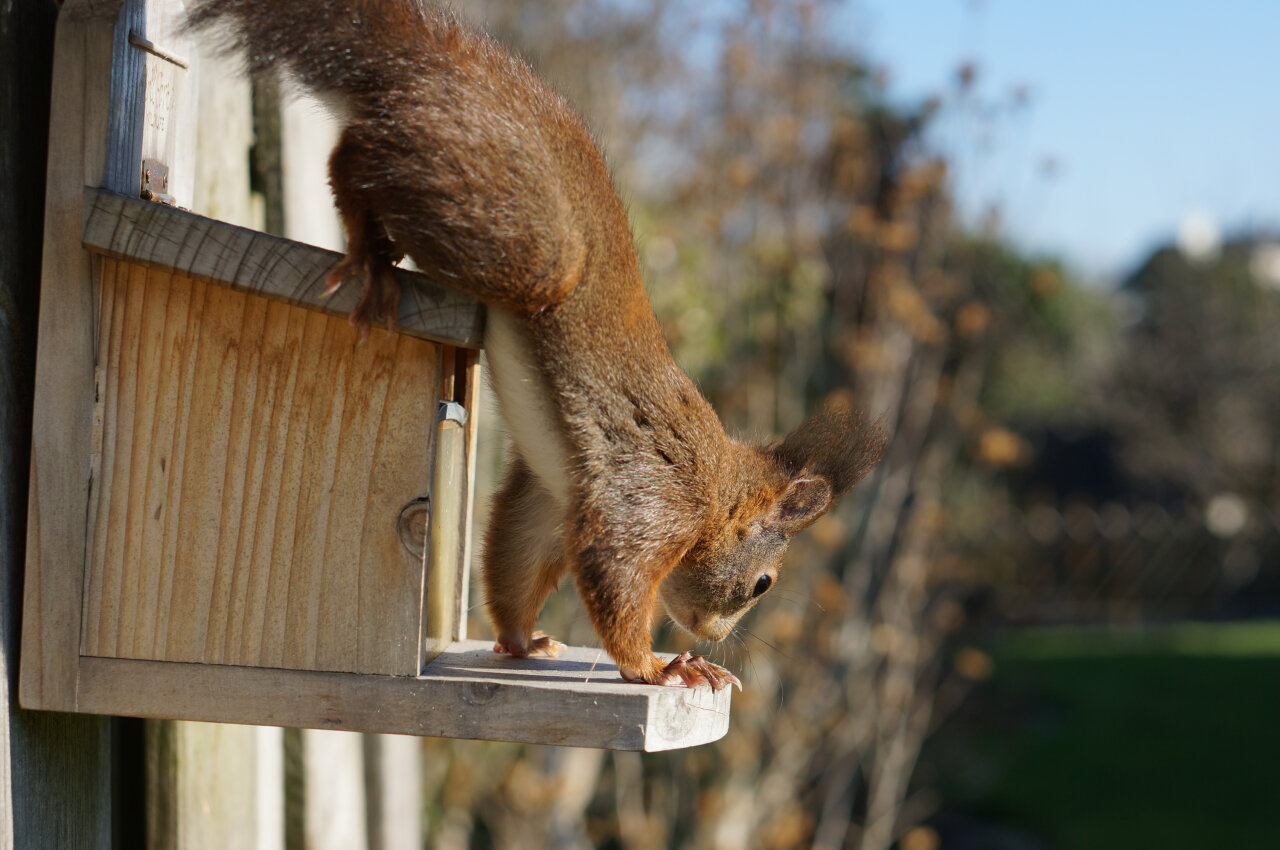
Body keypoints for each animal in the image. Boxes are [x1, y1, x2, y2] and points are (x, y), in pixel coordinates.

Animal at [192, 0, 890, 691]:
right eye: (763, 582)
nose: (714, 636)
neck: (715, 486)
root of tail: (446, 63)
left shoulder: (552, 494)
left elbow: (517, 560)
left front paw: (522, 643)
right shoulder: (655, 498)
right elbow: (617, 570)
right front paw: (662, 666)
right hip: (527, 243)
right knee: (361, 155)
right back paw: (368, 245)